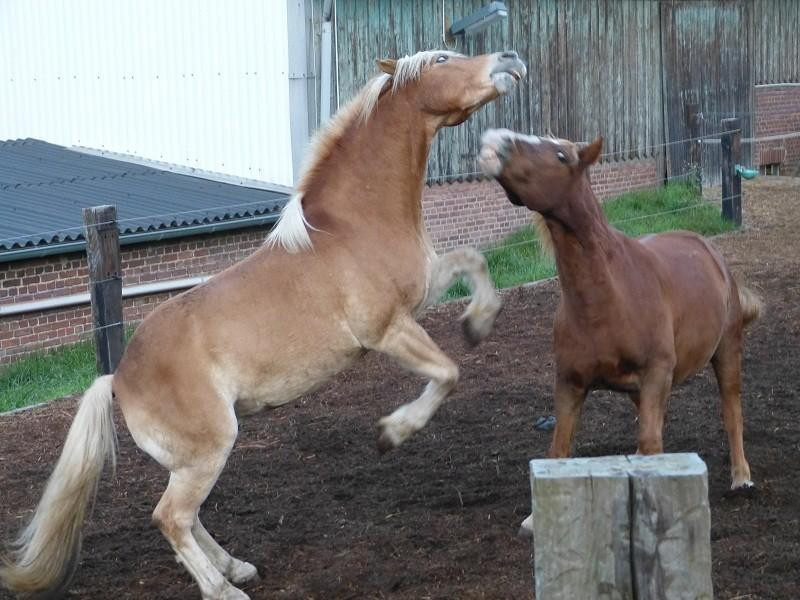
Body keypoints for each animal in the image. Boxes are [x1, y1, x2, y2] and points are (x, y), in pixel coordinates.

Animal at [3, 51, 528, 600]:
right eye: (443, 59)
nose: (509, 59)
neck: (354, 224)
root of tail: (118, 378)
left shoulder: (421, 295)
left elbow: (474, 261)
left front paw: (478, 322)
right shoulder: (388, 330)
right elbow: (448, 374)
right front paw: (393, 432)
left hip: (193, 459)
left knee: (187, 516)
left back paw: (236, 567)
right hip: (210, 448)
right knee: (170, 517)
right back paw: (223, 589)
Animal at [478, 127, 764, 536]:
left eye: (562, 156)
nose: (497, 140)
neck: (607, 297)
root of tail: (707, 248)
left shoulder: (655, 373)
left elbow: (650, 440)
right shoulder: (570, 382)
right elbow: (559, 449)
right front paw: (536, 518)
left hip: (725, 353)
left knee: (731, 412)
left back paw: (741, 477)